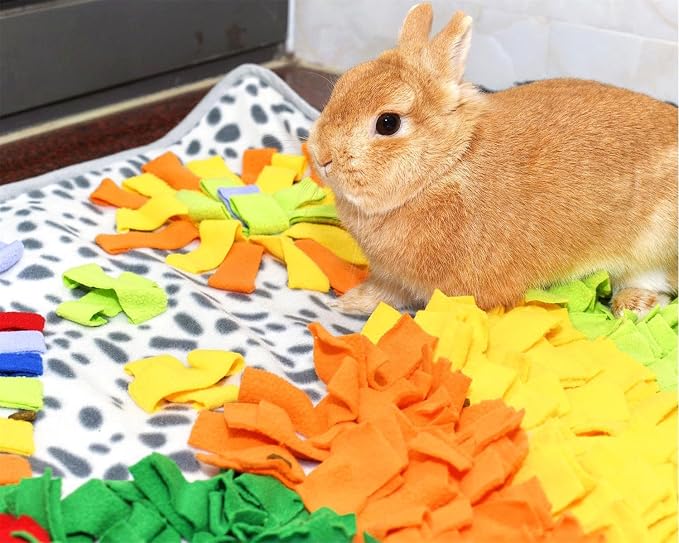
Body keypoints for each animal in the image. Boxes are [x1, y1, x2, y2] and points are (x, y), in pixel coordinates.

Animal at [306, 3, 678, 317]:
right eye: (344, 83)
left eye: (388, 123)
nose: (322, 156)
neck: (445, 168)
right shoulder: (394, 279)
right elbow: (383, 293)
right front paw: (345, 304)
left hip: (653, 245)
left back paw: (632, 307)